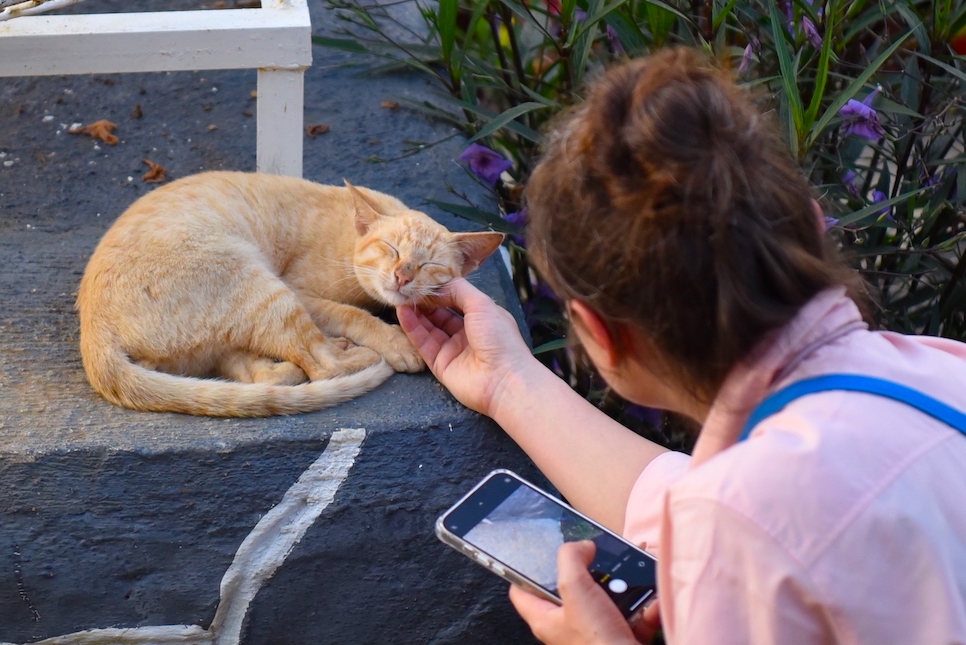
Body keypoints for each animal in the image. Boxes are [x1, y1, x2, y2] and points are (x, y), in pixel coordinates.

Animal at [75, 169, 506, 416]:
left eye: (430, 265)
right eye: (392, 250)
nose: (402, 276)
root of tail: (93, 332)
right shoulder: (301, 290)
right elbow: (353, 314)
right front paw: (396, 341)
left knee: (256, 374)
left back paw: (284, 370)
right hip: (261, 283)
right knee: (321, 364)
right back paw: (359, 355)